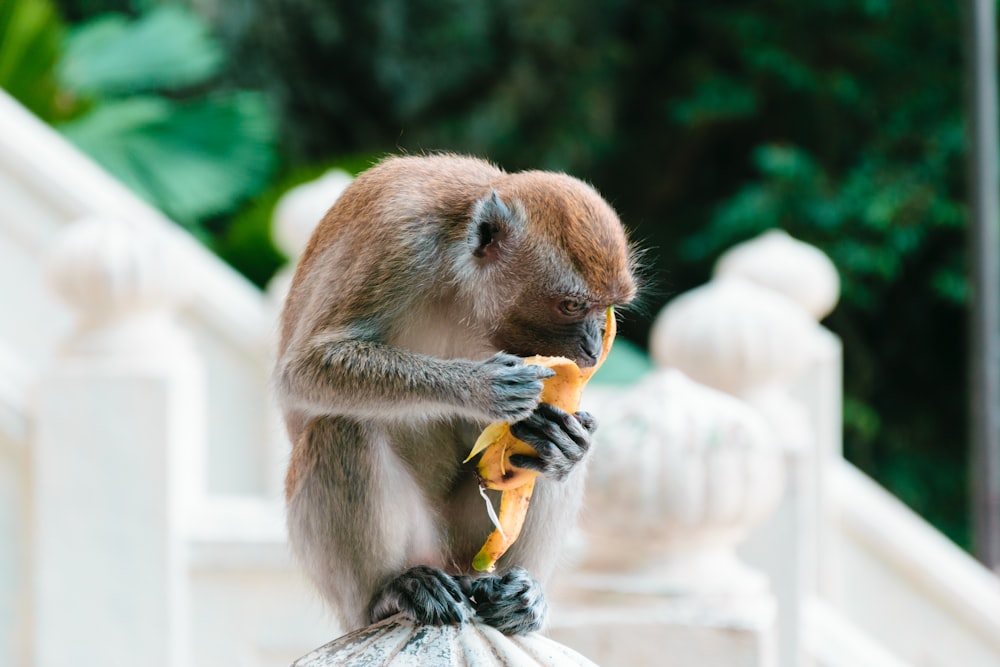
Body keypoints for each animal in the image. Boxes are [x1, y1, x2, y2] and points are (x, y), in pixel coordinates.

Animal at [276, 153, 632, 636]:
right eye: (571, 305)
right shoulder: (399, 243)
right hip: (413, 548)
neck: (460, 278)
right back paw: (389, 593)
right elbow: (303, 370)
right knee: (340, 424)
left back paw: (521, 590)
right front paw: (480, 386)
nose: (594, 349)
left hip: (468, 544)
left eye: (607, 309)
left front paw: (561, 436)